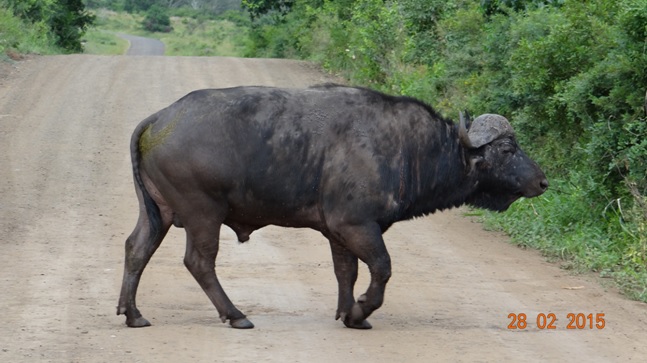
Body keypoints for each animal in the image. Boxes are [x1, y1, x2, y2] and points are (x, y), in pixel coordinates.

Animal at [115, 84, 548, 330]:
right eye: (507, 149)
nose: (542, 181)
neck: (407, 147)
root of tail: (159, 119)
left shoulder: (338, 232)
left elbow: (346, 272)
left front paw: (346, 313)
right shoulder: (357, 225)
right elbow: (381, 269)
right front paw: (360, 313)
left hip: (157, 213)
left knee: (136, 248)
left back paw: (133, 313)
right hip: (203, 214)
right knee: (199, 262)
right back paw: (236, 315)